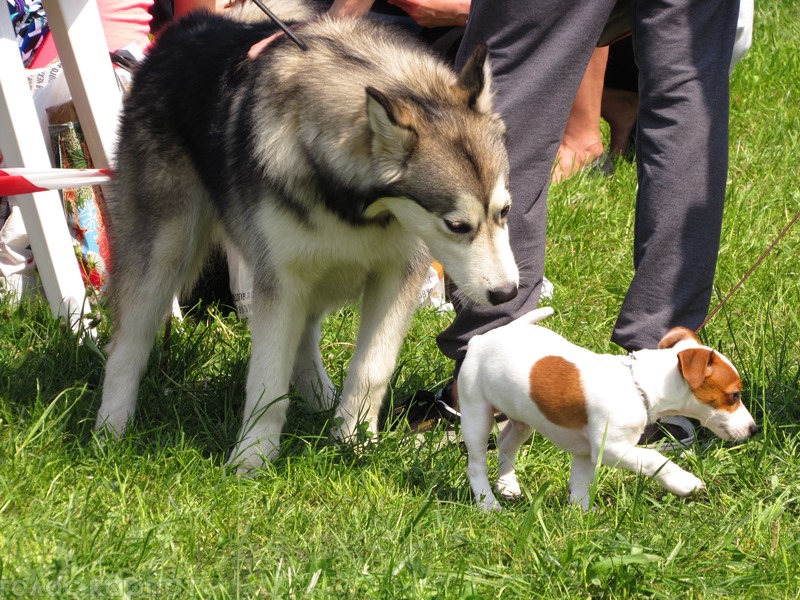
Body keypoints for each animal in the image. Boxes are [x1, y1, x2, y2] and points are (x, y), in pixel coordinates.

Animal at [97, 8, 520, 468]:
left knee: (303, 343)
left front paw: (354, 441)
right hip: (164, 251)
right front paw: (251, 458)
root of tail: (193, 25)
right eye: (457, 225)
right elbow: (267, 380)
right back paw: (111, 428)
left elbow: (371, 369)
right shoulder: (279, 280)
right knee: (128, 344)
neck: (358, 209)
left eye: (505, 211)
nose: (507, 293)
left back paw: (323, 401)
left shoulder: (397, 275)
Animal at [456, 310, 756, 510]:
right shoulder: (612, 448)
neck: (639, 385)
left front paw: (581, 519)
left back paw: (508, 486)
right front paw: (686, 483)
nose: (754, 429)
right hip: (476, 413)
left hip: (523, 416)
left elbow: (579, 485)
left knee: (507, 443)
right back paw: (488, 503)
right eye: (734, 395)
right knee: (476, 464)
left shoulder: (586, 453)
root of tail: (480, 339)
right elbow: (654, 460)